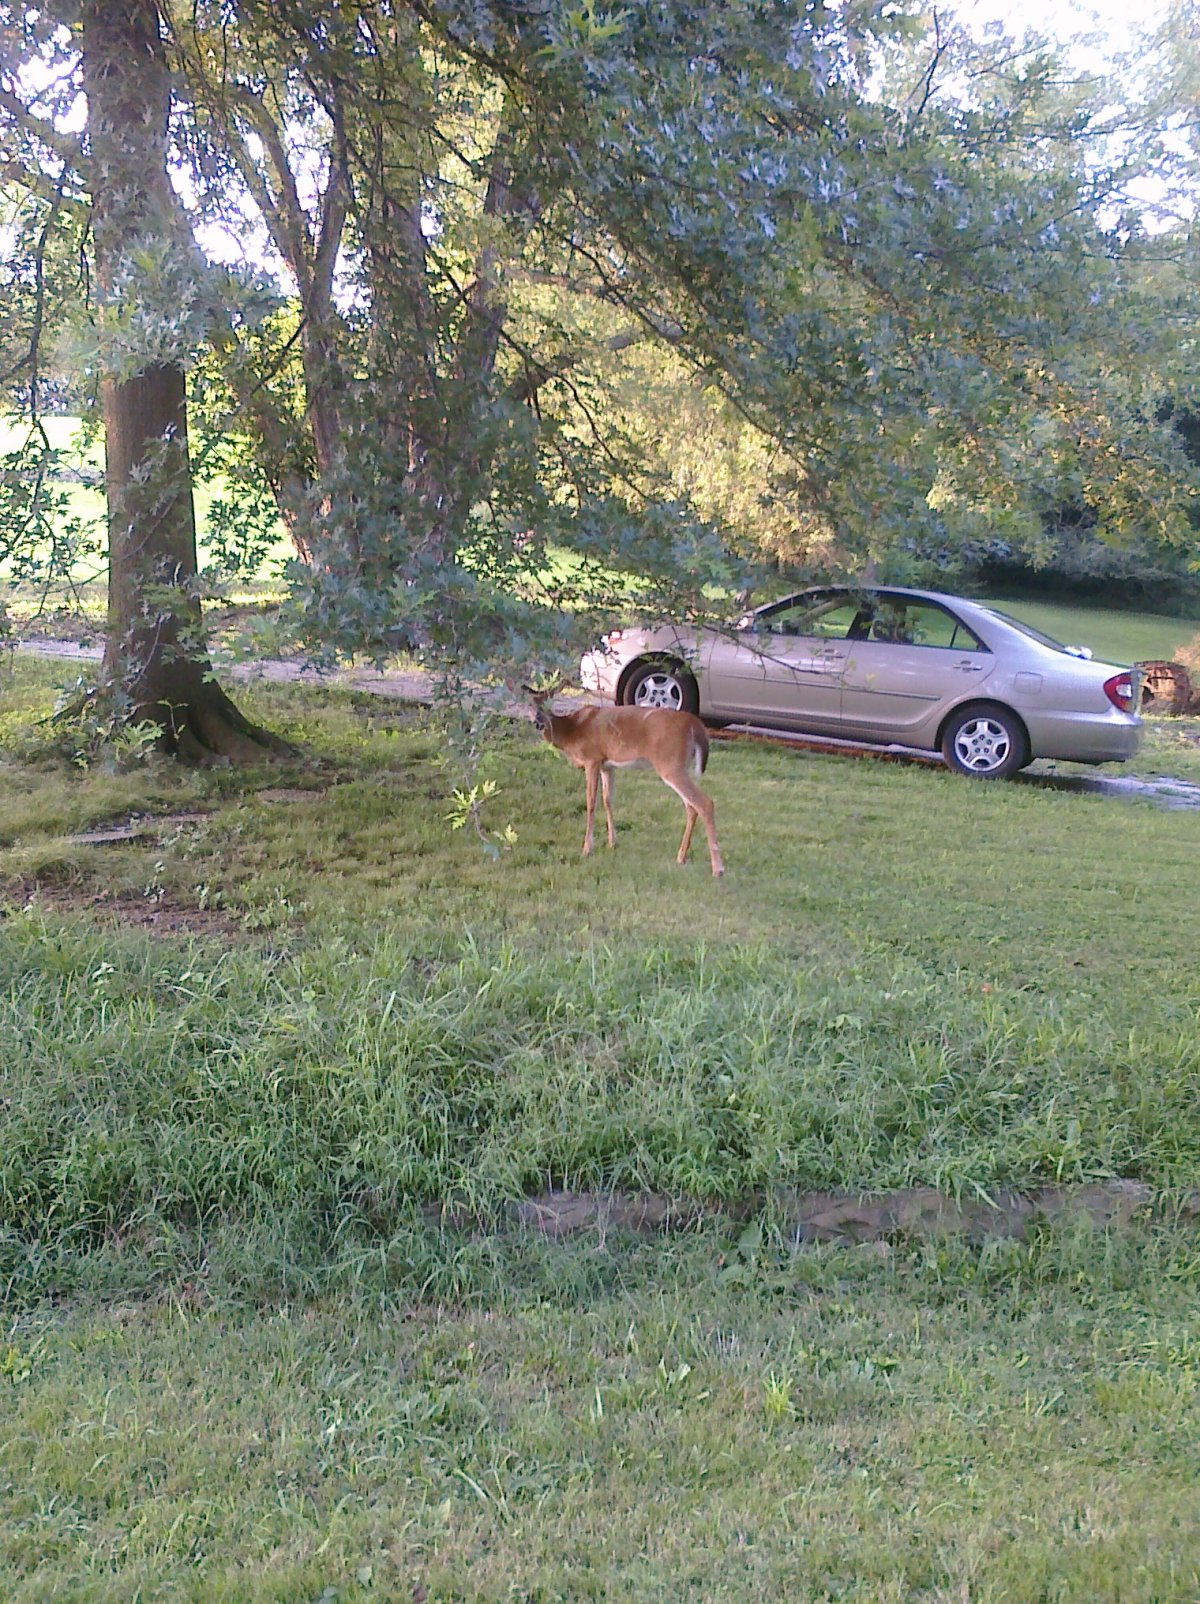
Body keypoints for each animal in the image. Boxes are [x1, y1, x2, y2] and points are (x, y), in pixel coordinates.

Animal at [525, 686, 724, 876]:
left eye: (547, 703)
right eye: (530, 705)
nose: (538, 722)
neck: (571, 731)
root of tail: (695, 724)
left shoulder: (592, 759)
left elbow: (591, 803)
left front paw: (587, 849)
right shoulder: (607, 765)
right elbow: (608, 800)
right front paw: (612, 843)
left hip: (671, 764)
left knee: (705, 803)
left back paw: (717, 868)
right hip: (678, 766)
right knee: (691, 806)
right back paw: (681, 857)